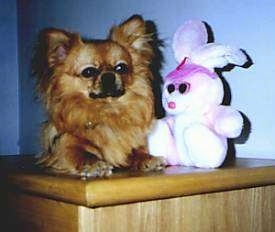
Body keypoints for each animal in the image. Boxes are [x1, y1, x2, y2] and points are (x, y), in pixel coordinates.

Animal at [33, 15, 165, 177]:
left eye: (121, 68)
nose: (109, 76)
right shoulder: (64, 146)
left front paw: (147, 158)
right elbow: (82, 154)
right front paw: (94, 164)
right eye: (88, 72)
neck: (107, 110)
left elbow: (136, 151)